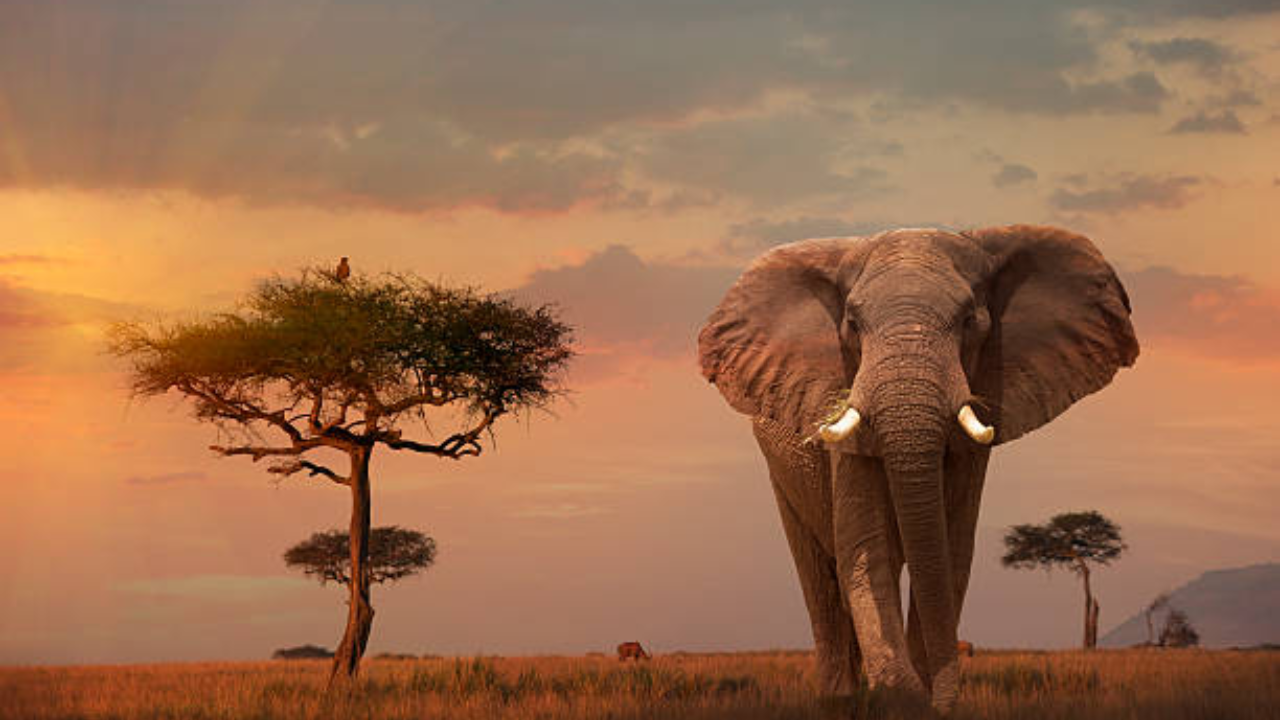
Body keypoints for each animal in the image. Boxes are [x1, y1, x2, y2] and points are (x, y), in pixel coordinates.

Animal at [697, 226, 1138, 712]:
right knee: (821, 578)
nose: (941, 700)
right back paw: (841, 699)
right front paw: (899, 696)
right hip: (780, 468)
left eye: (970, 321)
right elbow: (868, 547)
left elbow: (951, 551)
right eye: (852, 324)